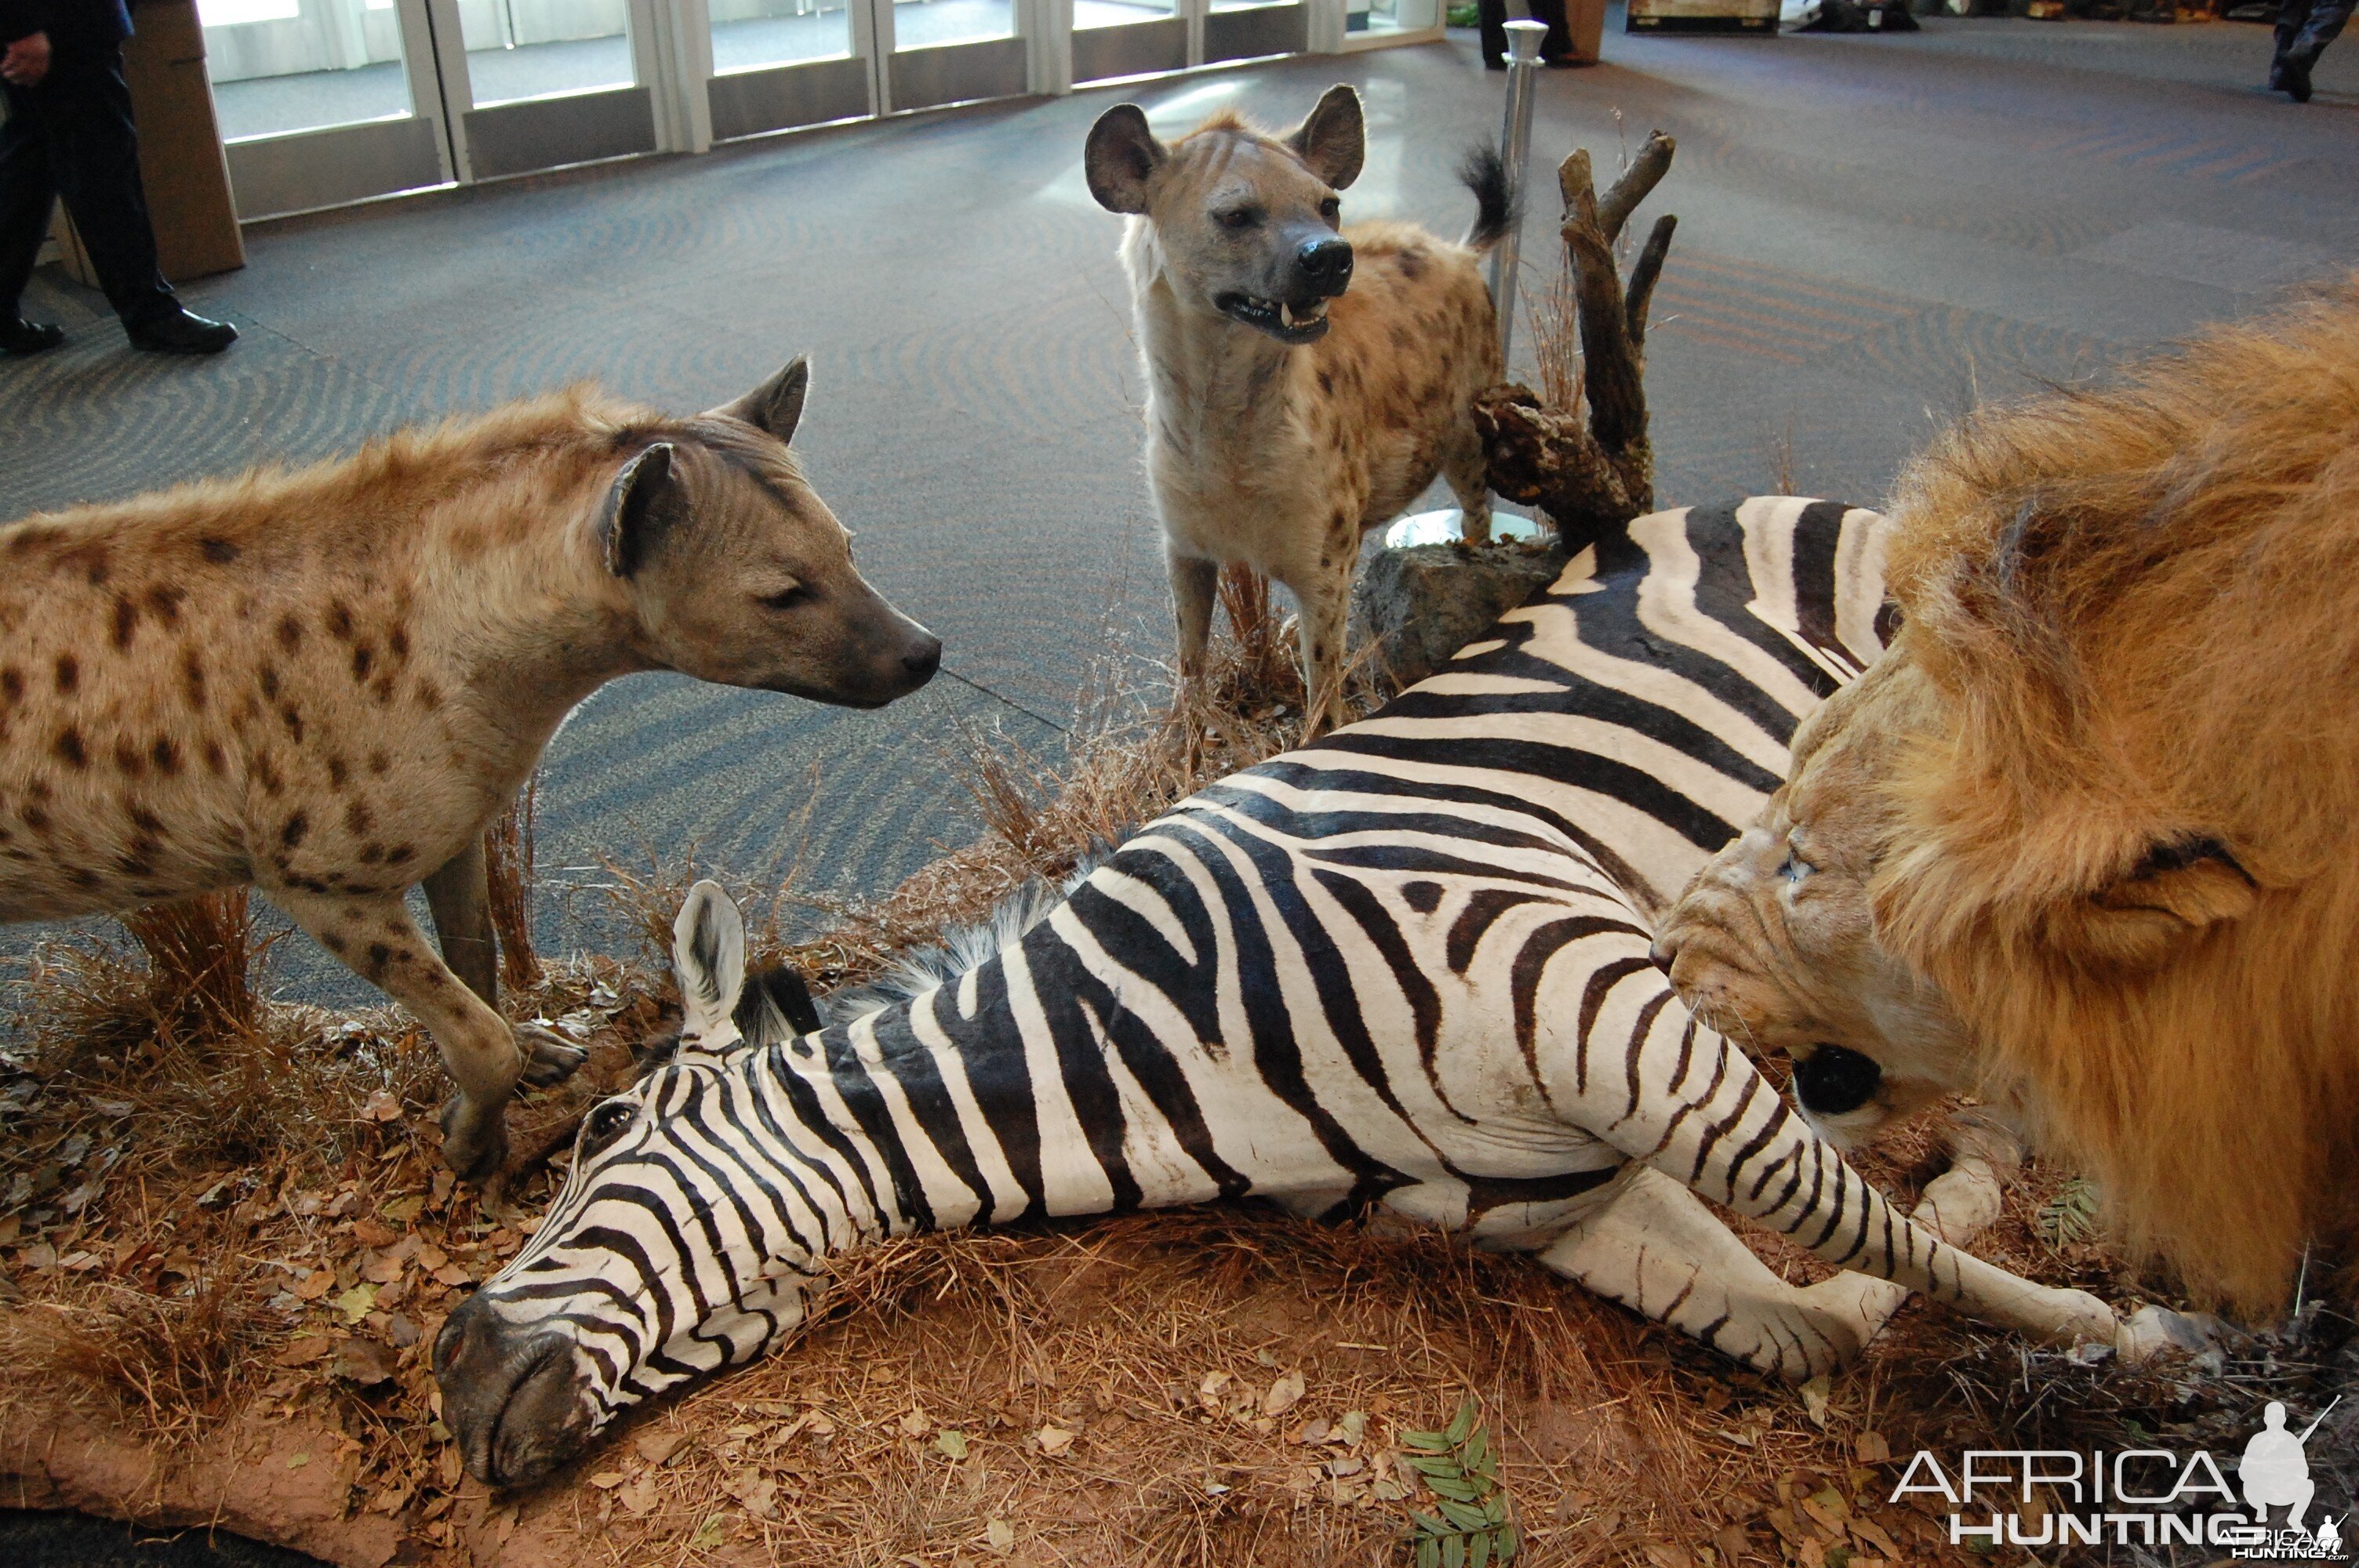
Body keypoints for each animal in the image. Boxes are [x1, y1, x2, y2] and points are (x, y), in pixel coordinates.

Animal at [434, 495, 2132, 1490]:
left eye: (600, 1135)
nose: (450, 1378)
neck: (1174, 1049)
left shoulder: (1590, 997)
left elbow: (1846, 1215)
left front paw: (2122, 1338)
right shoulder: (1555, 1194)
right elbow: (1793, 1314)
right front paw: (1911, 1259)